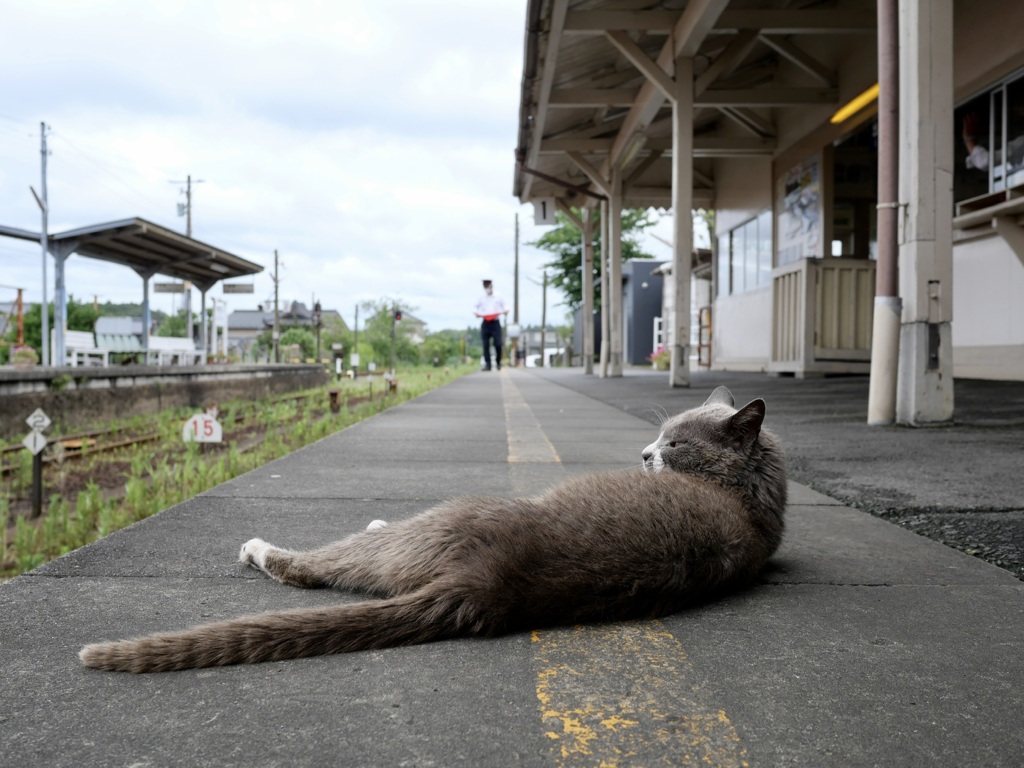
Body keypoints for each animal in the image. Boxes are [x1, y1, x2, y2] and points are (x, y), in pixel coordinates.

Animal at [79, 385, 786, 671]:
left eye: (673, 442)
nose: (643, 454)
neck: (749, 505)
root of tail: (485, 584)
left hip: (433, 524)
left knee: (312, 567)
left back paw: (267, 547)